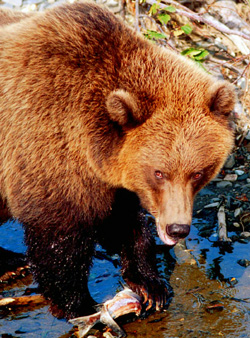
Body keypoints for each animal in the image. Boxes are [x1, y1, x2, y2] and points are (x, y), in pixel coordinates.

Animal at [0, 1, 234, 320]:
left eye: (198, 173)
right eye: (159, 172)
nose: (177, 228)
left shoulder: (109, 175)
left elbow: (124, 220)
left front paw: (151, 286)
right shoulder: (47, 148)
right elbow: (58, 239)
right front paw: (79, 302)